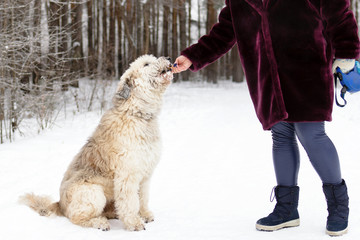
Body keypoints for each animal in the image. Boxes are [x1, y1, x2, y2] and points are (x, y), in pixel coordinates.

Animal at [20, 55, 174, 232]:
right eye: (146, 64)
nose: (169, 58)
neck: (136, 114)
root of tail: (59, 204)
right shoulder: (127, 176)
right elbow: (130, 202)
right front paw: (134, 223)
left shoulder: (145, 175)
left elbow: (142, 198)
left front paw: (144, 214)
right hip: (93, 193)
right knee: (77, 217)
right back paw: (100, 222)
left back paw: (112, 213)